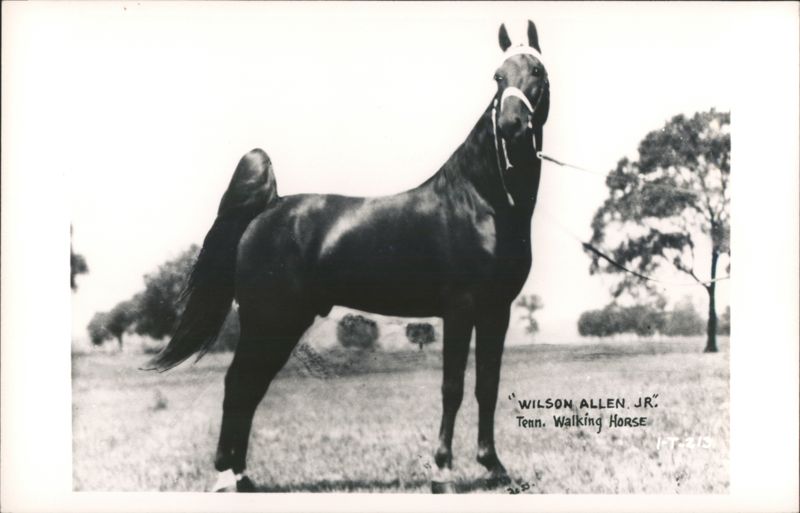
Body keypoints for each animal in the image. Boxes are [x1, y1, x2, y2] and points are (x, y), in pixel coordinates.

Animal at [148, 20, 550, 493]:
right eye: (497, 77)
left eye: (537, 73)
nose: (511, 125)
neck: (482, 200)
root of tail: (269, 207)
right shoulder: (460, 307)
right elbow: (452, 386)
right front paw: (443, 473)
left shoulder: (496, 310)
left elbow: (487, 384)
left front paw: (494, 467)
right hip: (269, 319)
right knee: (238, 383)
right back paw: (227, 477)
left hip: (282, 323)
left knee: (249, 387)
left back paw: (242, 476)